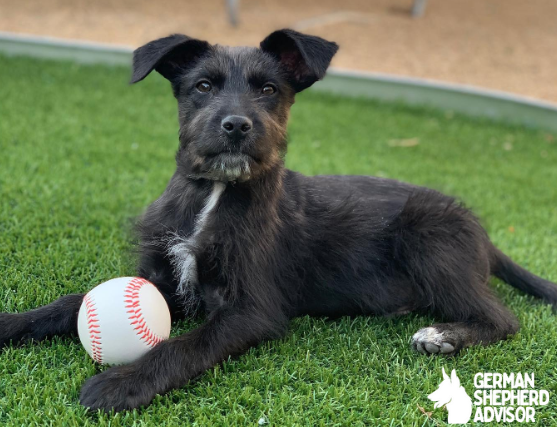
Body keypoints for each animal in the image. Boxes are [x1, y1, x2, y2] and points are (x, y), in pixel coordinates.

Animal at [1, 29, 556, 412]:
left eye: (269, 89)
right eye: (202, 85)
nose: (236, 125)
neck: (216, 194)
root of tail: (482, 231)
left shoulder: (252, 309)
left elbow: (186, 344)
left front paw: (125, 382)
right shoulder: (162, 278)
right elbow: (69, 303)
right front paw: (12, 322)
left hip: (428, 237)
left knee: (504, 318)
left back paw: (443, 335)